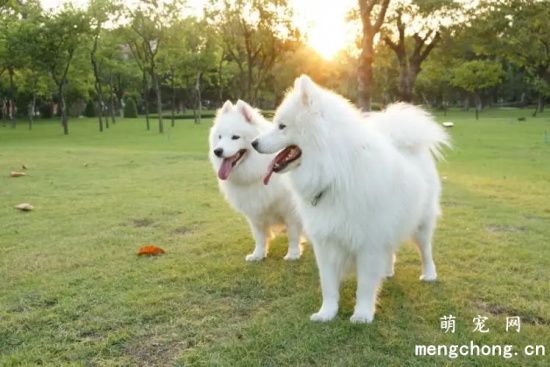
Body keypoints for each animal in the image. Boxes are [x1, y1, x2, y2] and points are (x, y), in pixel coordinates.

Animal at [209, 100, 304, 262]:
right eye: (220, 137)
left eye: (235, 137)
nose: (218, 151)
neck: (258, 170)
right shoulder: (255, 214)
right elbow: (259, 237)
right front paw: (258, 255)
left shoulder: (291, 211)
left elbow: (292, 234)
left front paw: (292, 254)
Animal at [252, 76, 450, 324]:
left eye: (281, 126)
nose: (253, 143)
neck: (336, 172)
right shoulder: (325, 242)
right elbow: (328, 285)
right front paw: (326, 313)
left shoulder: (368, 243)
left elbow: (364, 285)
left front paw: (362, 315)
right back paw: (387, 271)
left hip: (421, 226)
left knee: (425, 251)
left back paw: (429, 274)